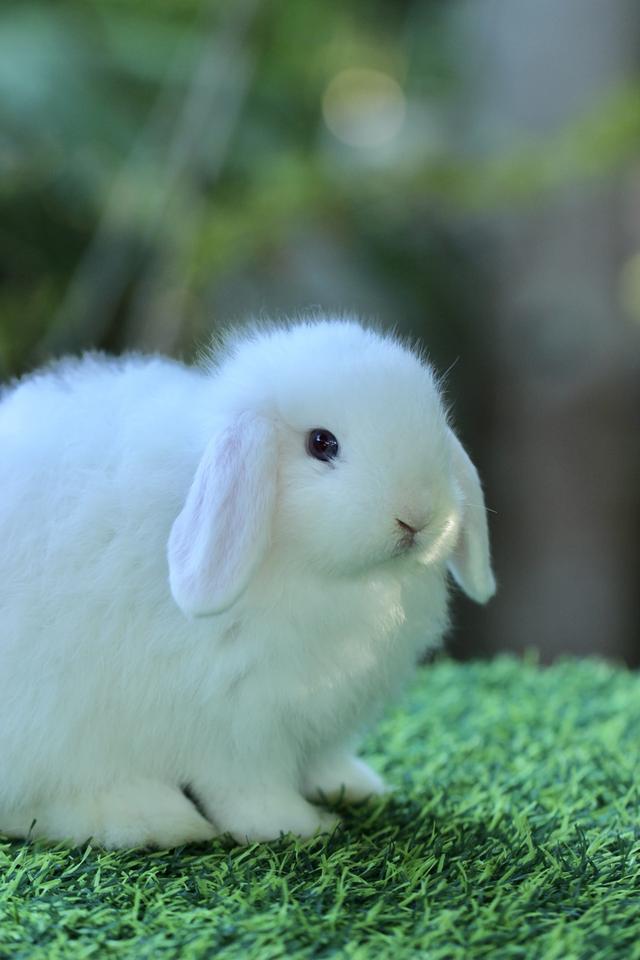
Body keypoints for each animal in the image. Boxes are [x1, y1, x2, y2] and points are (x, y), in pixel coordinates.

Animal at [0, 316, 496, 848]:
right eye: (322, 443)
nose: (417, 517)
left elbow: (321, 761)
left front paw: (354, 785)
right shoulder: (238, 725)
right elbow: (247, 790)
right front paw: (298, 825)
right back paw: (153, 818)